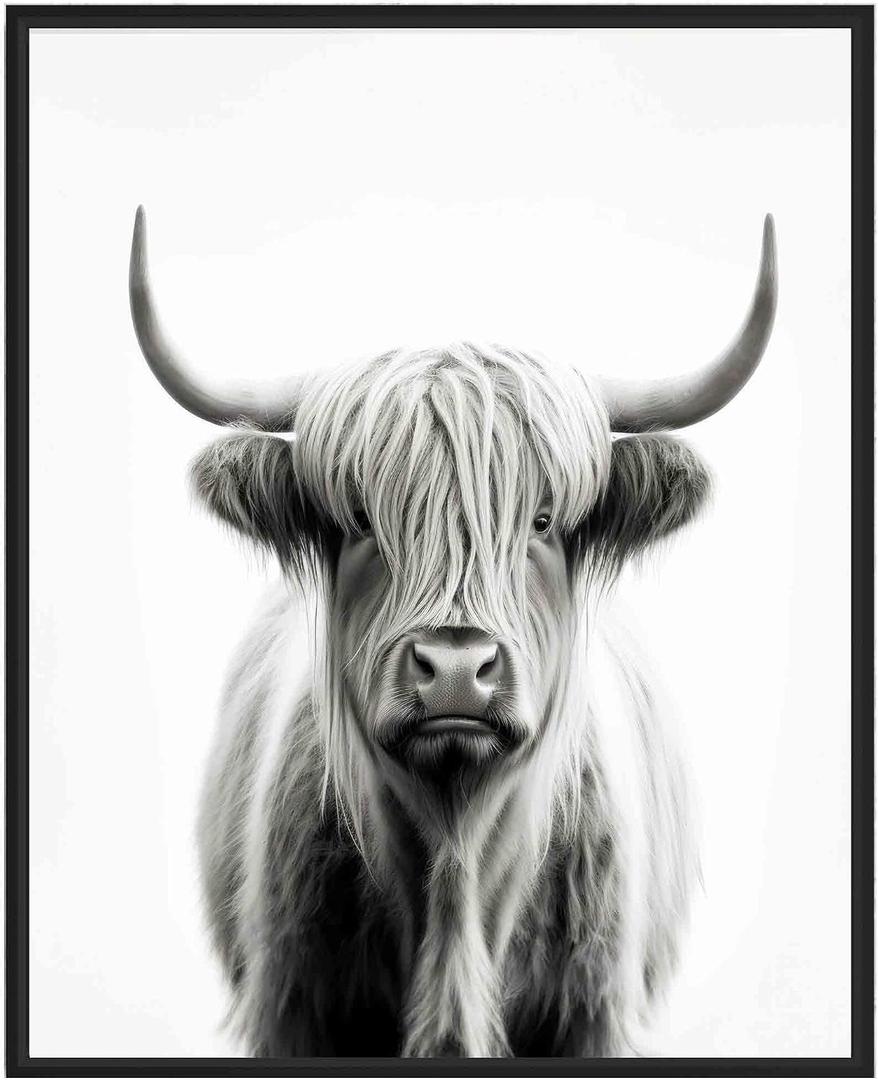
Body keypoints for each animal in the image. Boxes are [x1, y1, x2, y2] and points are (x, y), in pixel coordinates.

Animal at [129, 207, 777, 1058]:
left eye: (543, 520)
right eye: (361, 517)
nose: (458, 669)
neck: (454, 870)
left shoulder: (593, 1015)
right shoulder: (296, 1010)